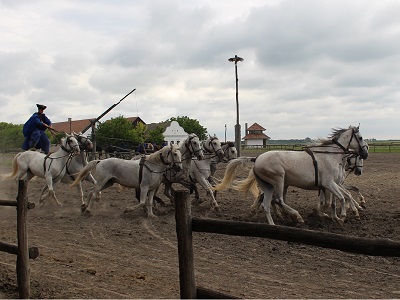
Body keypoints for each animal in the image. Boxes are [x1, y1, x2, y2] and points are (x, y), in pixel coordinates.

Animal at [216, 125, 368, 225]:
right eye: (360, 138)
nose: (365, 154)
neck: (330, 156)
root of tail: (257, 159)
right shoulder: (329, 183)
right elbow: (341, 198)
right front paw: (342, 216)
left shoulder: (331, 185)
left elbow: (334, 200)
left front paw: (330, 215)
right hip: (279, 180)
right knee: (278, 200)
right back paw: (295, 216)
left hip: (270, 185)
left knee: (267, 203)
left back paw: (273, 221)